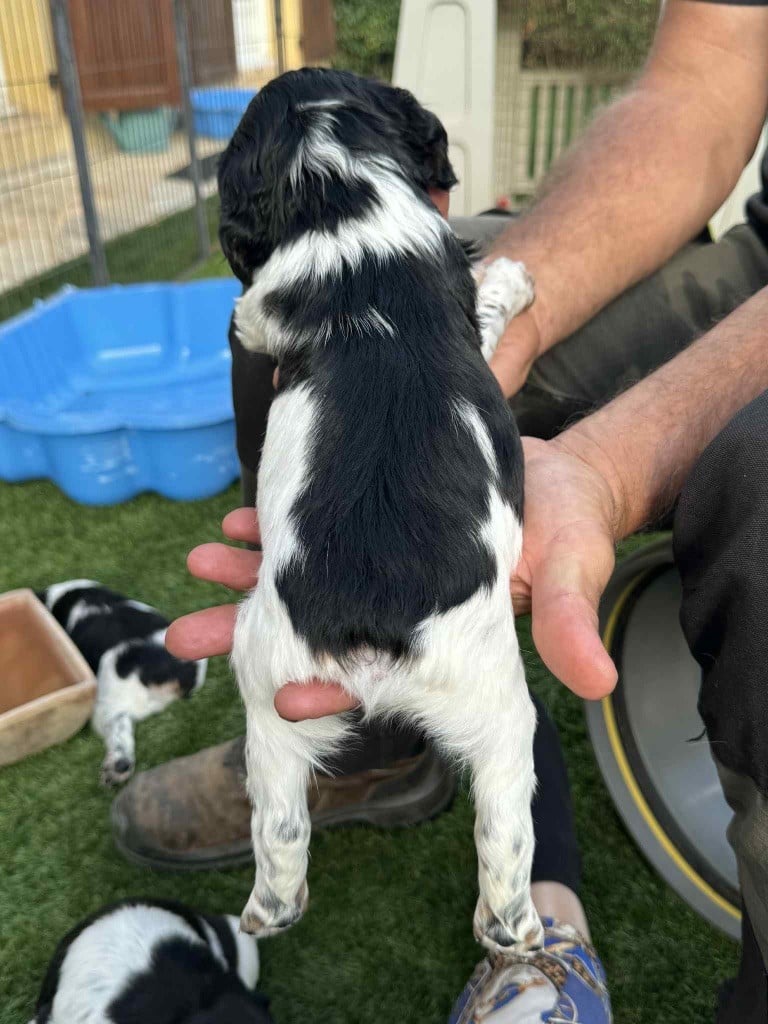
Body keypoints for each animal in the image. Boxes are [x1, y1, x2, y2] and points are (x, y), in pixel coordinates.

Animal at [218, 68, 541, 954]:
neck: (337, 192)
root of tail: (370, 620)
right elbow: (489, 303)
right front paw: (515, 279)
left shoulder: (260, 307)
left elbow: (247, 313)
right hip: (499, 700)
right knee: (505, 828)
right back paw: (514, 931)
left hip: (265, 679)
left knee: (279, 821)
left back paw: (269, 909)